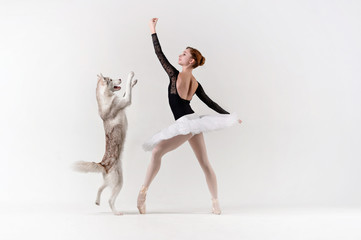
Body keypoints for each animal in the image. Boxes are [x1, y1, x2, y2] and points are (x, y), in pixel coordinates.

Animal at [72, 70, 137, 215]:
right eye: (111, 79)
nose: (120, 78)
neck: (105, 98)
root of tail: (102, 163)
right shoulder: (126, 101)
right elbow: (128, 90)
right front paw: (131, 76)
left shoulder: (123, 99)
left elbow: (126, 90)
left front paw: (134, 82)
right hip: (119, 182)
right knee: (110, 200)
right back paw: (116, 212)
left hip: (111, 180)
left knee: (100, 187)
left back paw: (97, 201)